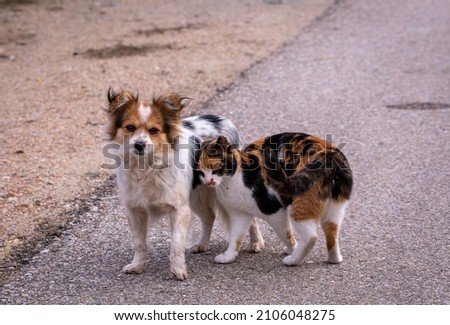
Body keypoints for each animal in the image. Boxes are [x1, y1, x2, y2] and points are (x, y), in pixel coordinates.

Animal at [105, 88, 264, 278]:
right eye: (130, 127)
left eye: (154, 130)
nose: (139, 145)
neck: (147, 167)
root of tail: (222, 120)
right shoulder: (135, 209)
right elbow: (139, 242)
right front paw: (138, 265)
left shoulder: (179, 209)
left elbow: (176, 242)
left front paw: (178, 269)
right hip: (196, 196)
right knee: (209, 217)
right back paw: (203, 244)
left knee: (248, 216)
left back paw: (256, 242)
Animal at [195, 133, 354, 264]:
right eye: (201, 172)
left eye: (214, 169)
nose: (208, 181)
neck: (232, 180)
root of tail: (330, 155)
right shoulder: (240, 214)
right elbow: (236, 237)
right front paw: (228, 256)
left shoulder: (274, 211)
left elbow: (286, 234)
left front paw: (291, 249)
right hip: (335, 208)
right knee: (331, 231)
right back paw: (334, 259)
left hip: (297, 204)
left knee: (311, 236)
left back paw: (292, 260)